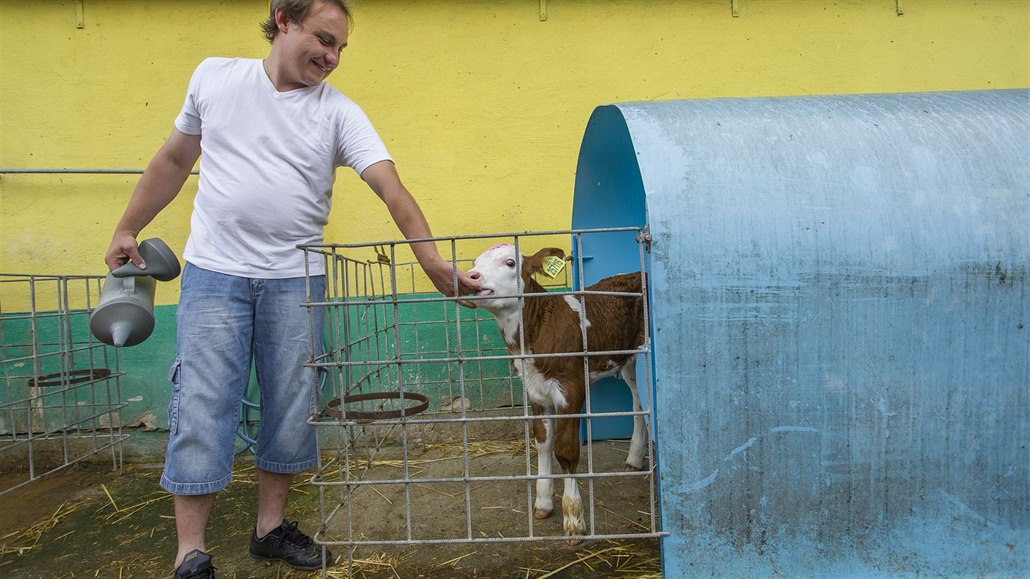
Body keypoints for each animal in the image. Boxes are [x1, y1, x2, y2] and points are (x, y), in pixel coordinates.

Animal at [465, 243, 642, 539]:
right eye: (475, 262)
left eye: (510, 262)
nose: (471, 277)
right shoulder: (535, 390)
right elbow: (543, 443)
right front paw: (543, 502)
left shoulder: (570, 389)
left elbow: (566, 449)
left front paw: (573, 519)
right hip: (625, 359)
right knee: (639, 405)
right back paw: (636, 457)